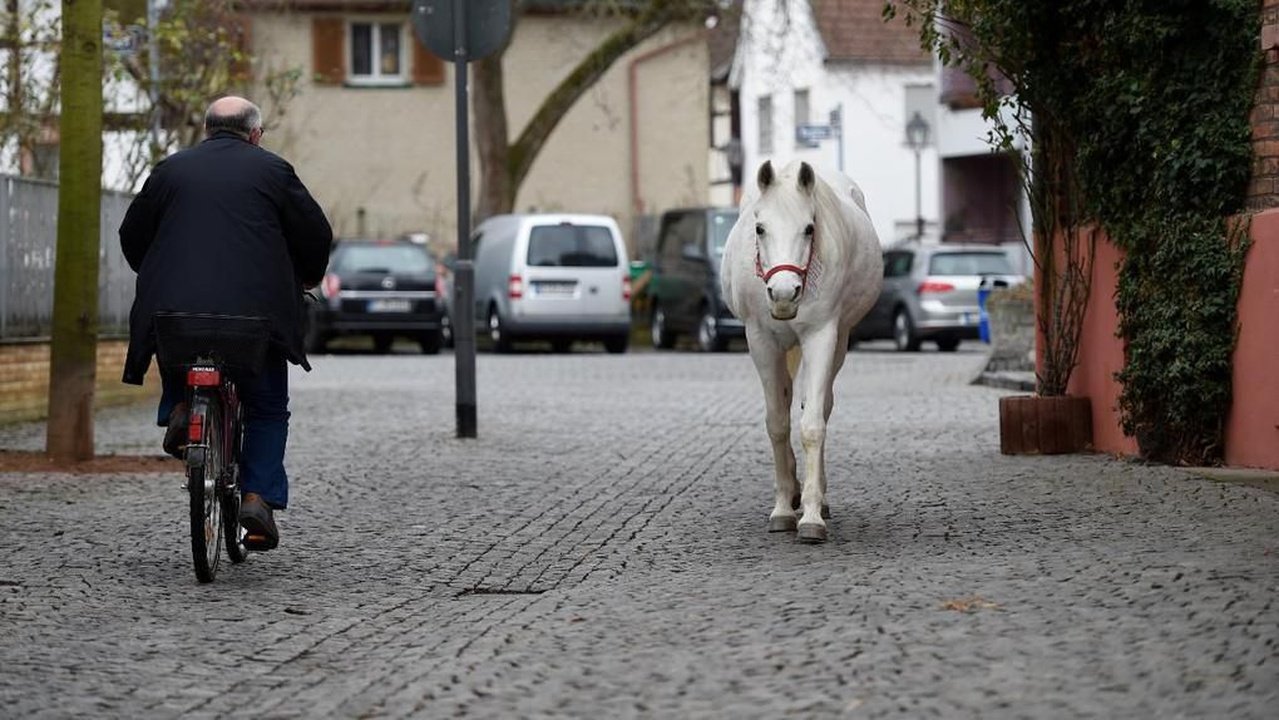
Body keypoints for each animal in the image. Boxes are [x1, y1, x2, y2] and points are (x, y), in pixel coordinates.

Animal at [726, 157, 885, 542]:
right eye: (760, 228)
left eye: (809, 229)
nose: (784, 294)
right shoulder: (760, 340)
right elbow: (777, 423)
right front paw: (784, 507)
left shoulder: (822, 334)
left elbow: (812, 424)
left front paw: (812, 516)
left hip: (839, 340)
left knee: (821, 406)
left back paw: (818, 498)